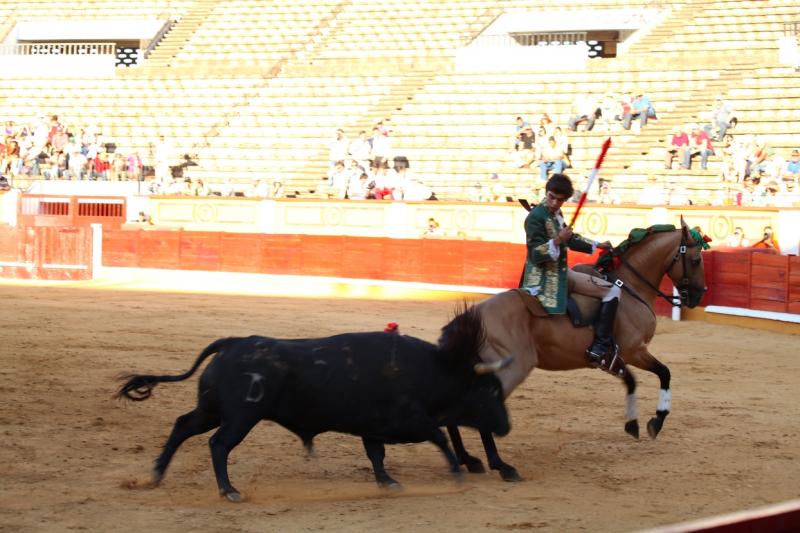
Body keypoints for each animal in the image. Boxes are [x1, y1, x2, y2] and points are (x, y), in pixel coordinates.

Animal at [115, 306, 510, 500]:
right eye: (490, 392)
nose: (506, 427)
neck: (433, 369)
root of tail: (233, 342)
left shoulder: (373, 426)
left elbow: (377, 456)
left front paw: (388, 483)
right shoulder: (412, 419)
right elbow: (440, 438)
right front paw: (458, 474)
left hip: (211, 410)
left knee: (183, 425)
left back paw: (156, 475)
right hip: (241, 416)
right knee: (218, 444)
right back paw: (229, 491)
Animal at [446, 214, 708, 480]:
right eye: (696, 260)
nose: (699, 295)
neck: (631, 288)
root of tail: (474, 316)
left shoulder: (612, 359)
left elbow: (631, 381)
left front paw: (632, 424)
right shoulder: (634, 350)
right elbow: (664, 373)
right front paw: (656, 422)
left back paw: (467, 460)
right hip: (511, 369)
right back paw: (501, 465)